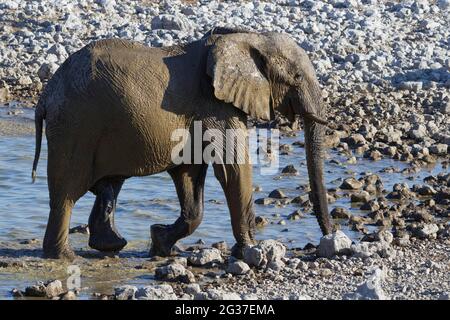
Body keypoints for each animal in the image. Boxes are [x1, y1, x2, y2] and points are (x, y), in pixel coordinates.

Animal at [31, 25, 332, 260]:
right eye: (296, 78)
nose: (327, 239)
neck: (248, 37)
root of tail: (46, 94)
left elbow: (190, 173)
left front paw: (160, 243)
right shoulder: (215, 104)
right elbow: (232, 168)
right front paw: (250, 251)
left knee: (109, 184)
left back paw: (110, 245)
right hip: (75, 126)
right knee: (67, 192)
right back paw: (64, 256)